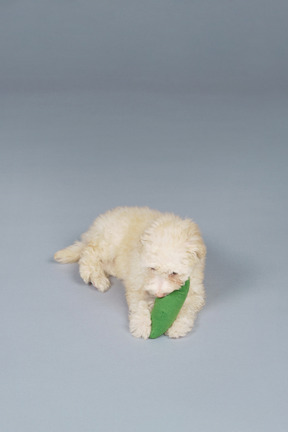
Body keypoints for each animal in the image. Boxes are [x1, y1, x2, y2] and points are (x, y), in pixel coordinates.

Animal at [54, 208, 206, 340]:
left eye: (174, 273)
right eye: (152, 268)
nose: (159, 294)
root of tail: (96, 227)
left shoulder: (196, 289)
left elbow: (188, 308)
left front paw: (178, 327)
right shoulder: (136, 282)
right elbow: (139, 304)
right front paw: (141, 325)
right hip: (109, 242)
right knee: (89, 251)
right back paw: (95, 277)